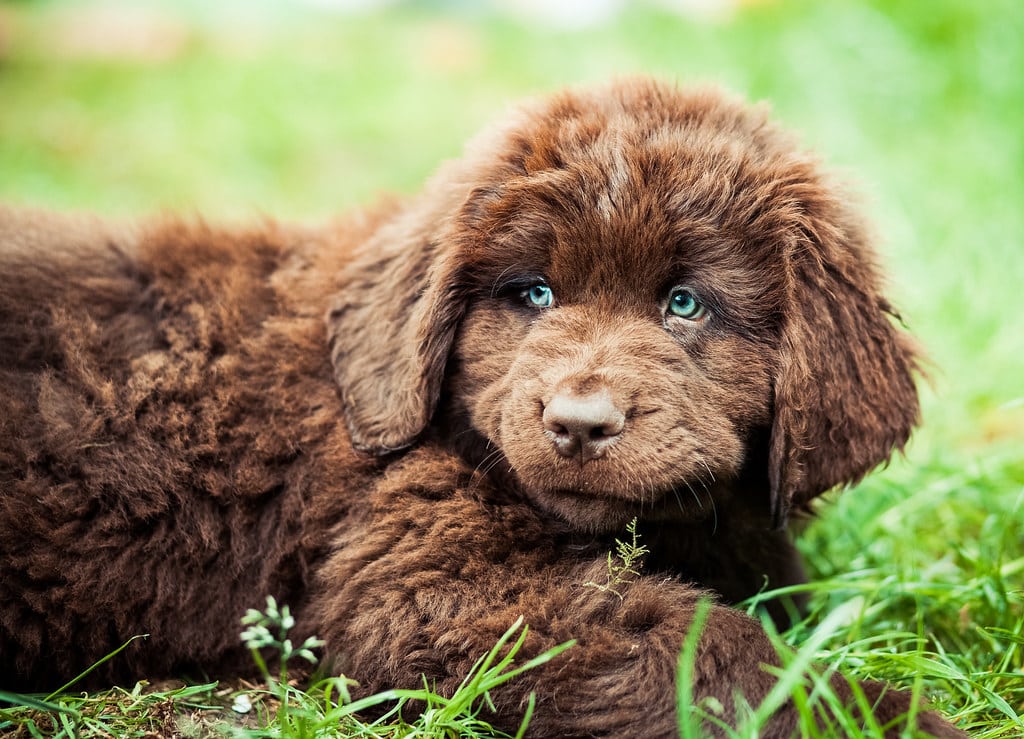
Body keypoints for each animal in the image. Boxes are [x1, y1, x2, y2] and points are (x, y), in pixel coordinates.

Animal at [0, 77, 958, 732]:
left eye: (686, 304)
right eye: (533, 293)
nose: (577, 423)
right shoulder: (428, 580)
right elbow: (707, 648)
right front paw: (892, 716)